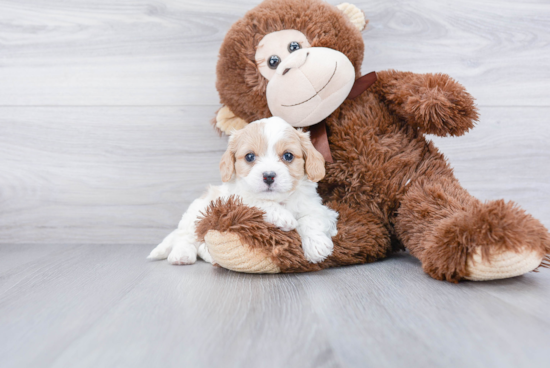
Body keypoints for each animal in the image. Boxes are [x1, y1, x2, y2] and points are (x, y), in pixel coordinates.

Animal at [149, 116, 338, 264]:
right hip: (195, 215)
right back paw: (182, 255)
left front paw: (317, 245)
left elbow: (312, 219)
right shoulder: (232, 203)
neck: (279, 200)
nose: (269, 176)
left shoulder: (317, 207)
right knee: (185, 237)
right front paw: (282, 216)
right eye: (249, 157)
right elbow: (255, 200)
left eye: (288, 156)